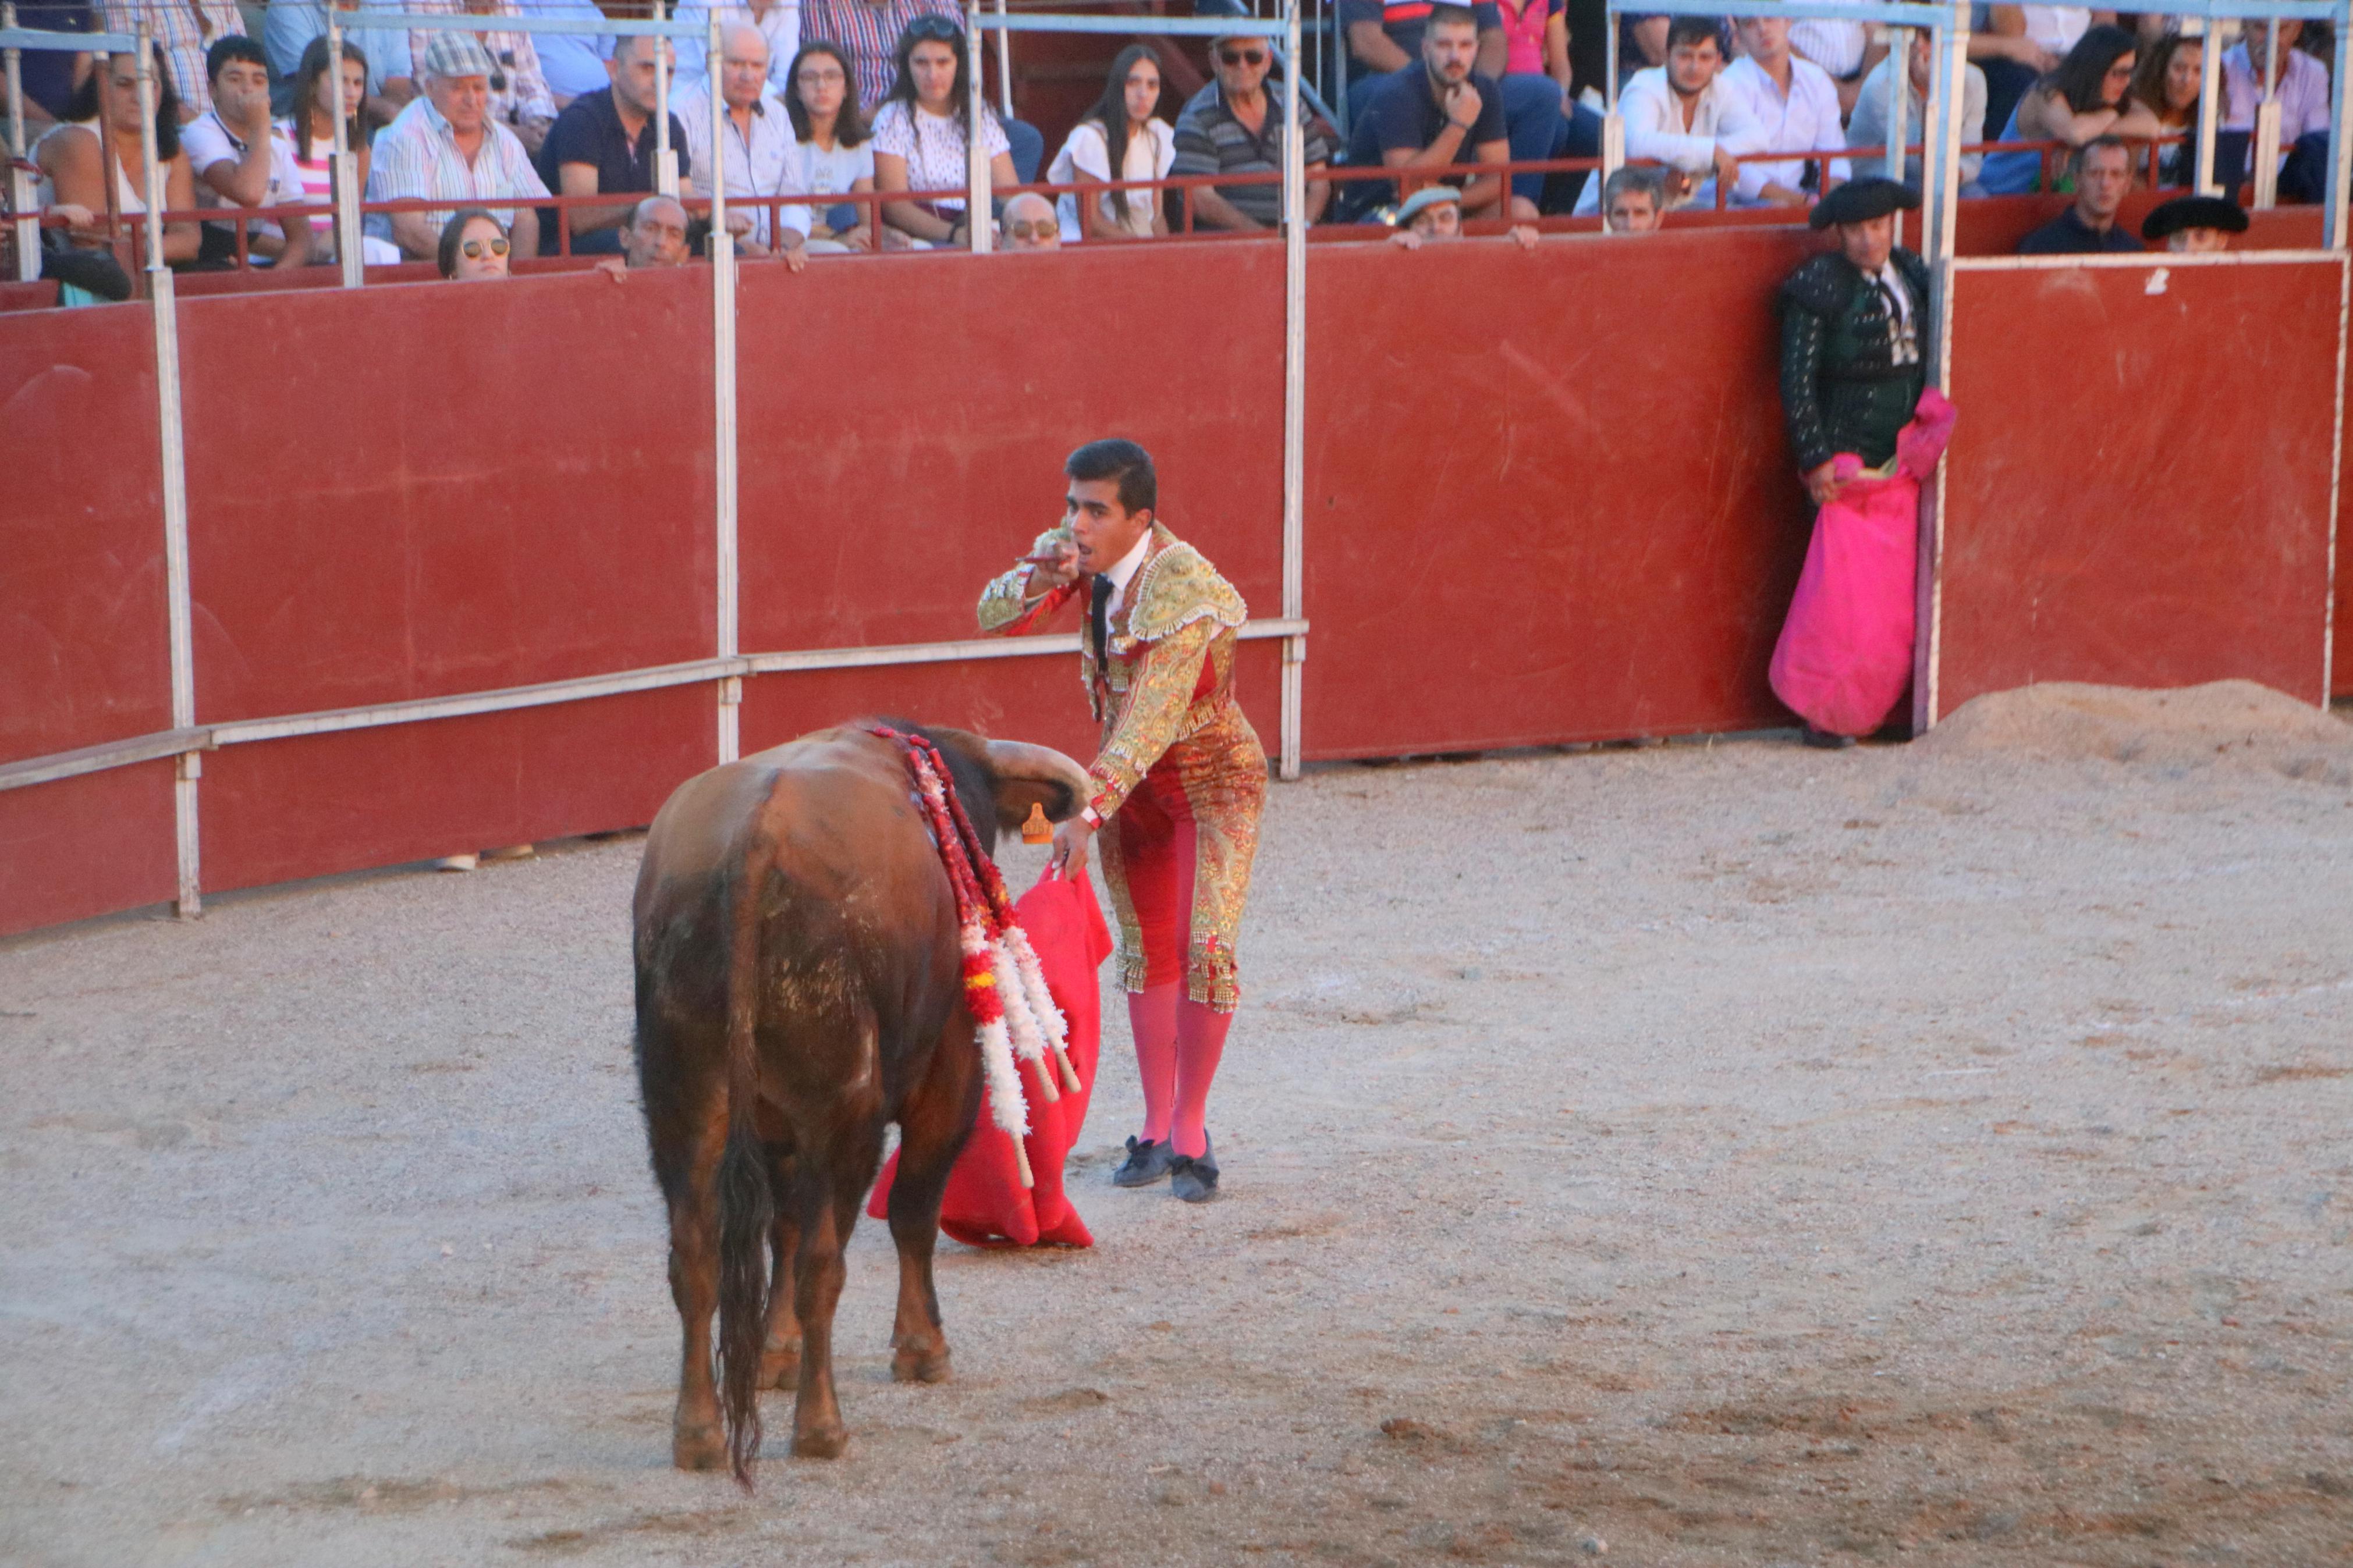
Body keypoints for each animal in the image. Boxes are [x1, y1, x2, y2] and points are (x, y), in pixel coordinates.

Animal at [635, 724, 1091, 1485]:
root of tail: (751, 844)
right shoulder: (948, 1075)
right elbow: (910, 1211)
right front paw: (922, 1348)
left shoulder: (775, 1128)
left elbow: (782, 1229)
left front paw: (777, 1353)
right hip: (841, 1113)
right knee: (825, 1261)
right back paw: (821, 1427)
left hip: (681, 1106)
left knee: (694, 1257)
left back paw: (695, 1433)